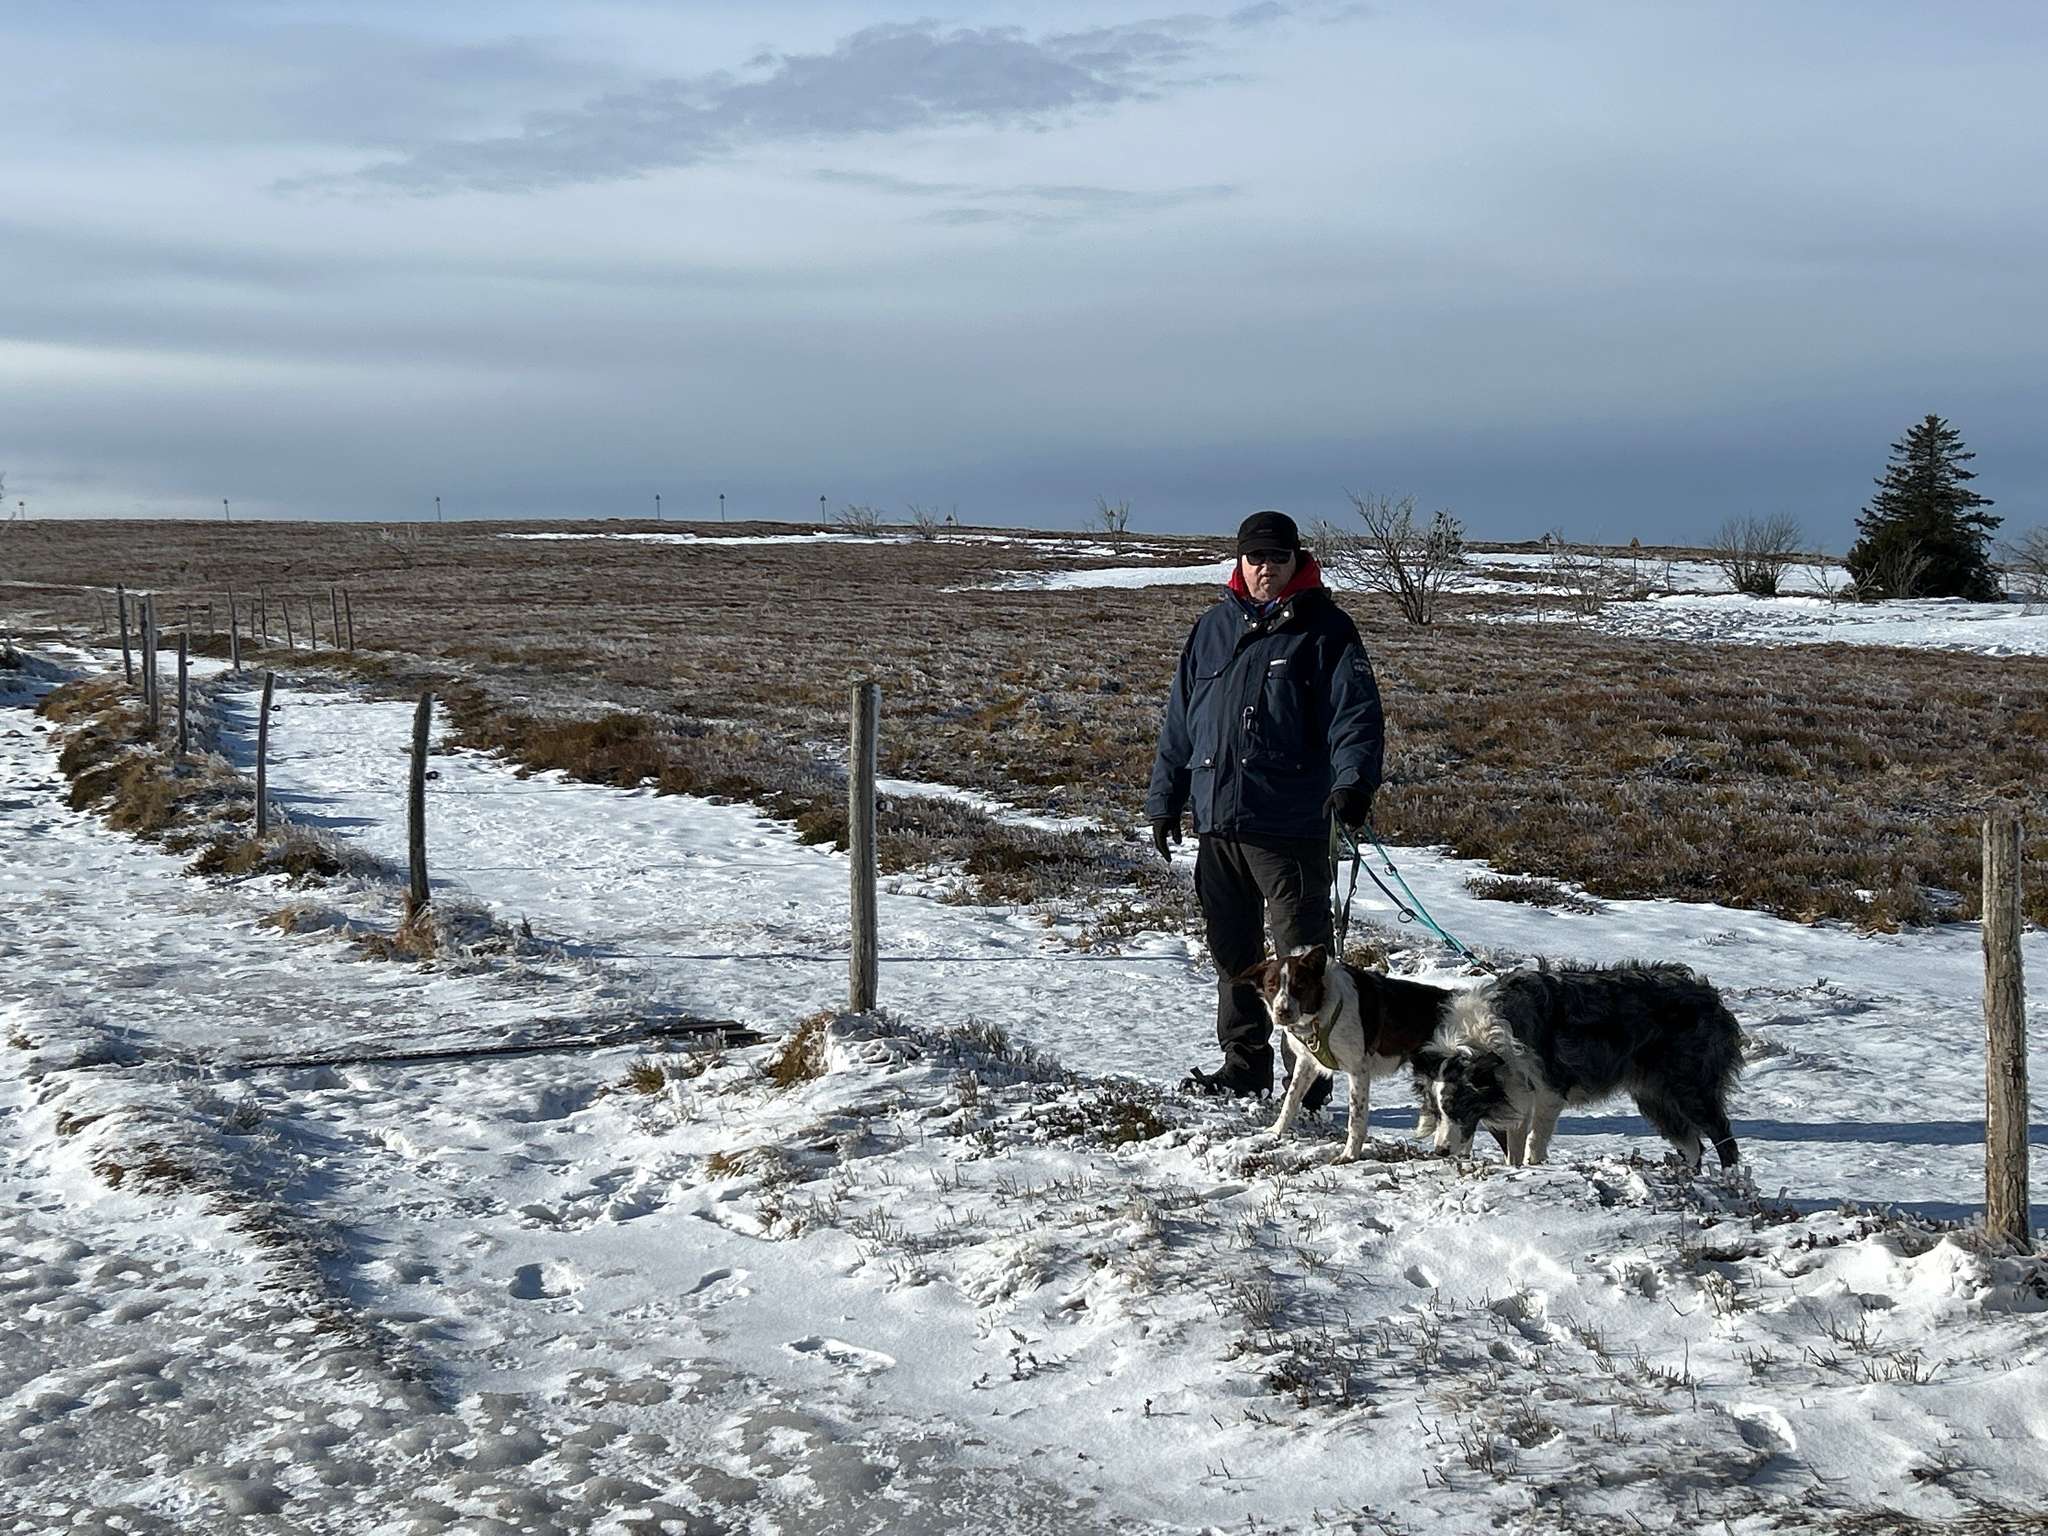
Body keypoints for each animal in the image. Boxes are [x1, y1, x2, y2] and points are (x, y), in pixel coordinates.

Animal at [1240, 946, 1445, 1162]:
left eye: (1300, 985)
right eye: (1271, 985)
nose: (1283, 1012)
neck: (1320, 1012)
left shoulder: (1358, 1070)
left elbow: (1355, 1118)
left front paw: (1350, 1155)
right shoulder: (1306, 1062)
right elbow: (1291, 1099)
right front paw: (1275, 1131)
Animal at [1412, 962, 1742, 1169]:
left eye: (1459, 1107)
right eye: (1437, 1112)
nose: (1440, 1151)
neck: (1484, 1044)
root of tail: (1710, 996)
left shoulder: (1548, 1092)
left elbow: (1534, 1141)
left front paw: (1533, 1167)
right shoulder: (1518, 1092)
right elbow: (1514, 1146)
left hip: (1690, 1088)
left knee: (1724, 1140)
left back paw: (1731, 1184)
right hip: (1655, 1097)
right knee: (1693, 1145)